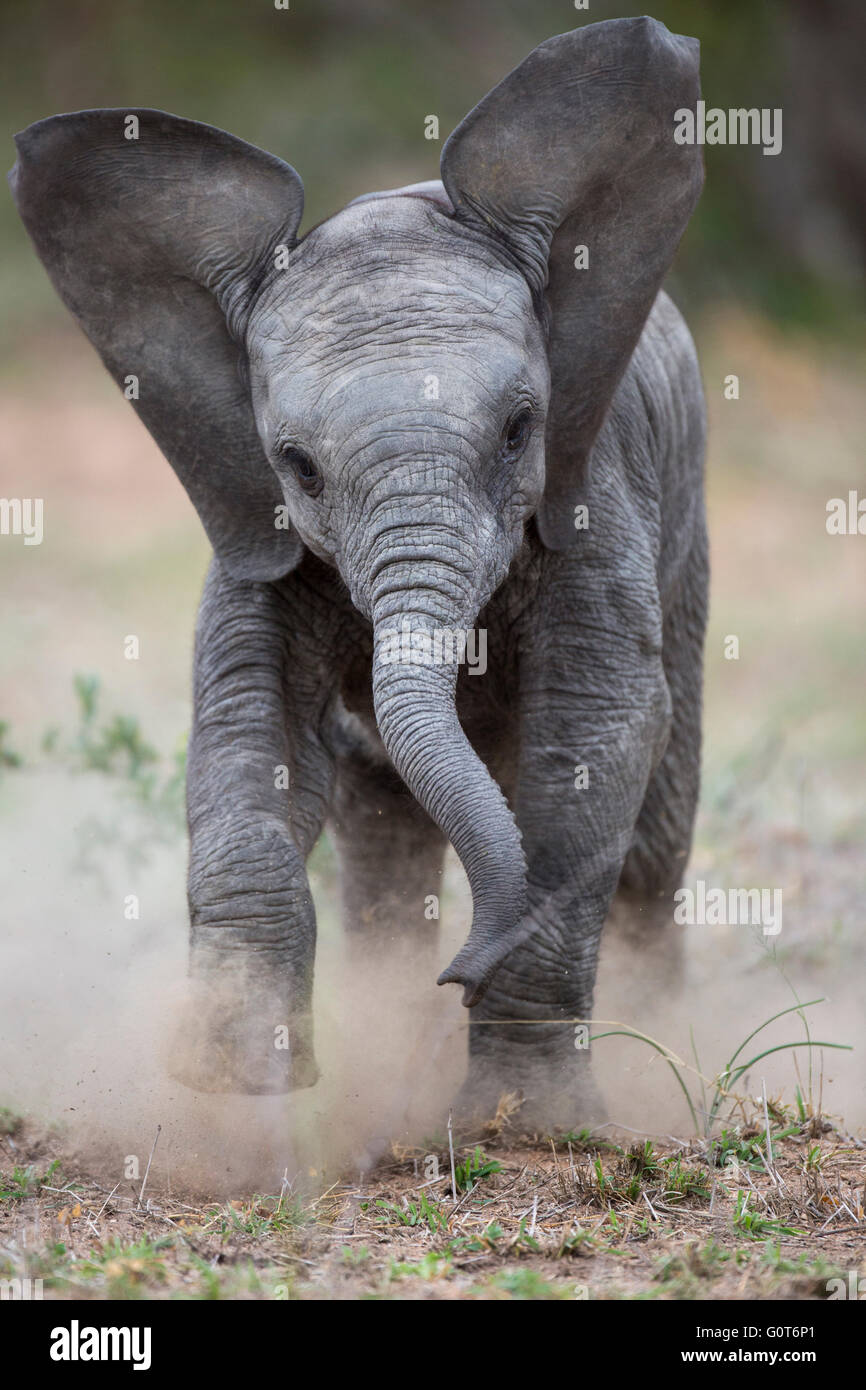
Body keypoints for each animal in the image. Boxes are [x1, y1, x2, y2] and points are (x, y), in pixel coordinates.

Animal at [10, 17, 708, 1131]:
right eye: (298, 464)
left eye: (520, 430)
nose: (457, 975)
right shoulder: (256, 530)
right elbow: (248, 731)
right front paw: (227, 1090)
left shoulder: (595, 490)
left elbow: (594, 735)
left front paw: (529, 1126)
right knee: (380, 841)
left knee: (656, 836)